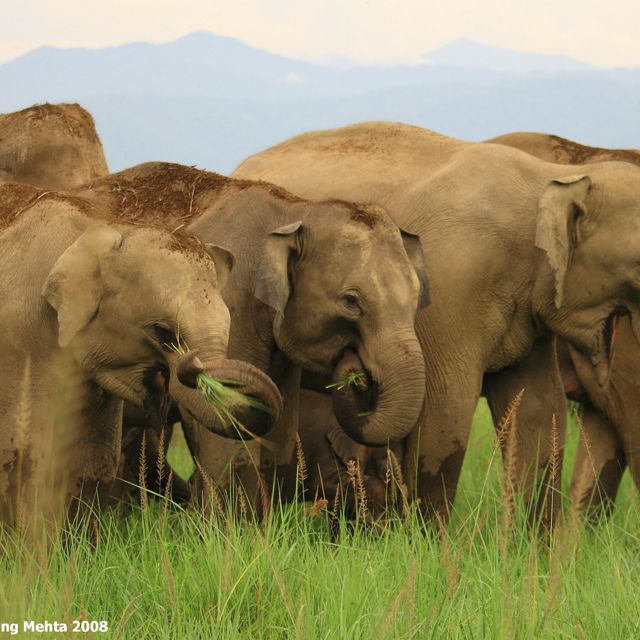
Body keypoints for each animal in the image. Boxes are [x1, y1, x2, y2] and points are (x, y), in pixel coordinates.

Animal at [0, 181, 280, 528]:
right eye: (161, 331)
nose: (188, 365)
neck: (104, 227)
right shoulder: (19, 344)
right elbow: (31, 459)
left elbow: (97, 461)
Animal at [74, 162, 430, 512]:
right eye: (351, 301)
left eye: (417, 299)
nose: (356, 369)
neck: (294, 209)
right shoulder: (226, 305)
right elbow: (224, 419)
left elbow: (278, 425)